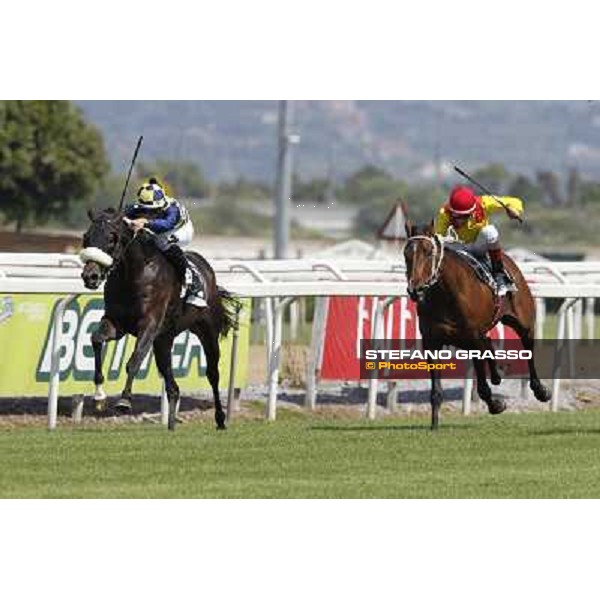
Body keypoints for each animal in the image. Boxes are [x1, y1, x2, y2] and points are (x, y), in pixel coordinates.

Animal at [79, 207, 239, 432]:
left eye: (111, 238)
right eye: (86, 237)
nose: (90, 276)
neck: (133, 275)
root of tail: (208, 270)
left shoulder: (149, 324)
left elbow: (134, 360)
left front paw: (124, 401)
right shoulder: (116, 323)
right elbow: (96, 339)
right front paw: (99, 396)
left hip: (207, 331)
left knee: (212, 373)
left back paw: (220, 419)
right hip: (164, 340)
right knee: (173, 387)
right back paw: (171, 425)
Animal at [406, 220, 552, 432]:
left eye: (428, 251)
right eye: (406, 253)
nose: (415, 290)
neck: (446, 294)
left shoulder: (473, 337)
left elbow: (482, 386)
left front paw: (496, 404)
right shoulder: (431, 342)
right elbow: (436, 390)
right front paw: (434, 424)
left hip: (522, 322)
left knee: (527, 348)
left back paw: (540, 390)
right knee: (489, 342)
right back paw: (497, 373)